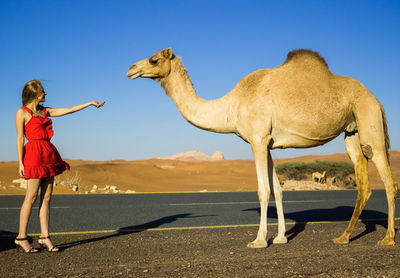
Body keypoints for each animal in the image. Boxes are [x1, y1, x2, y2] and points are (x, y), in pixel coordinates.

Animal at [127, 48, 396, 248]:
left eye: (154, 59)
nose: (131, 69)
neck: (231, 107)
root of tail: (376, 99)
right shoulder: (267, 142)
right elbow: (277, 189)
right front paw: (280, 238)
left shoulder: (257, 139)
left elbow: (263, 190)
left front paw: (258, 240)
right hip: (352, 131)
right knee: (364, 182)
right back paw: (344, 237)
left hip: (369, 119)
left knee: (388, 180)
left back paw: (388, 239)